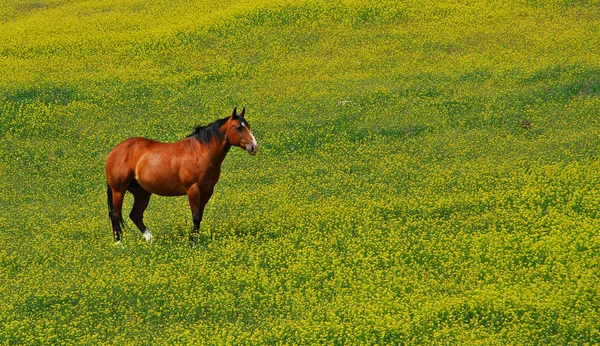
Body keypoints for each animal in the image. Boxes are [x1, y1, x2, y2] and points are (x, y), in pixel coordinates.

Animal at [105, 108, 258, 246]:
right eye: (238, 127)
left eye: (248, 126)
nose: (254, 147)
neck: (200, 153)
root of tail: (115, 151)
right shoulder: (193, 189)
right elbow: (195, 217)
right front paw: (193, 244)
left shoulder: (207, 191)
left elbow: (199, 216)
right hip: (118, 190)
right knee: (115, 214)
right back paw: (119, 244)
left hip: (142, 192)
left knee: (135, 215)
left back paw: (150, 239)